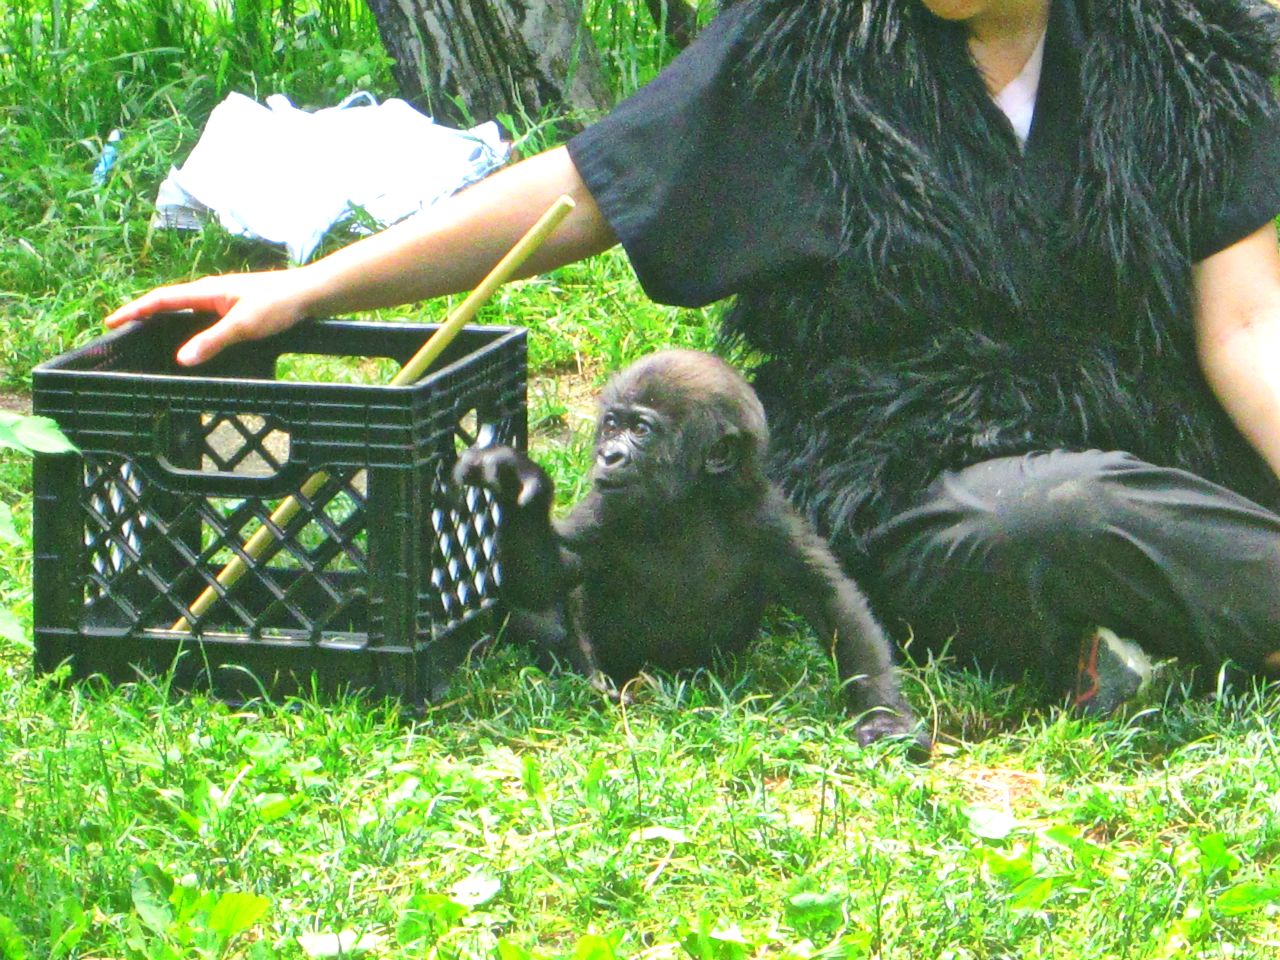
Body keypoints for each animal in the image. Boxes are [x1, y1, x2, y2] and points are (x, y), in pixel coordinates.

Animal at [454, 350, 927, 752]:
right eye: (611, 425)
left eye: (640, 430)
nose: (608, 455)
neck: (688, 503)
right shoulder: (607, 508)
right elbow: (549, 577)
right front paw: (514, 487)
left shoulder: (765, 517)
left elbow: (830, 599)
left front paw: (884, 715)